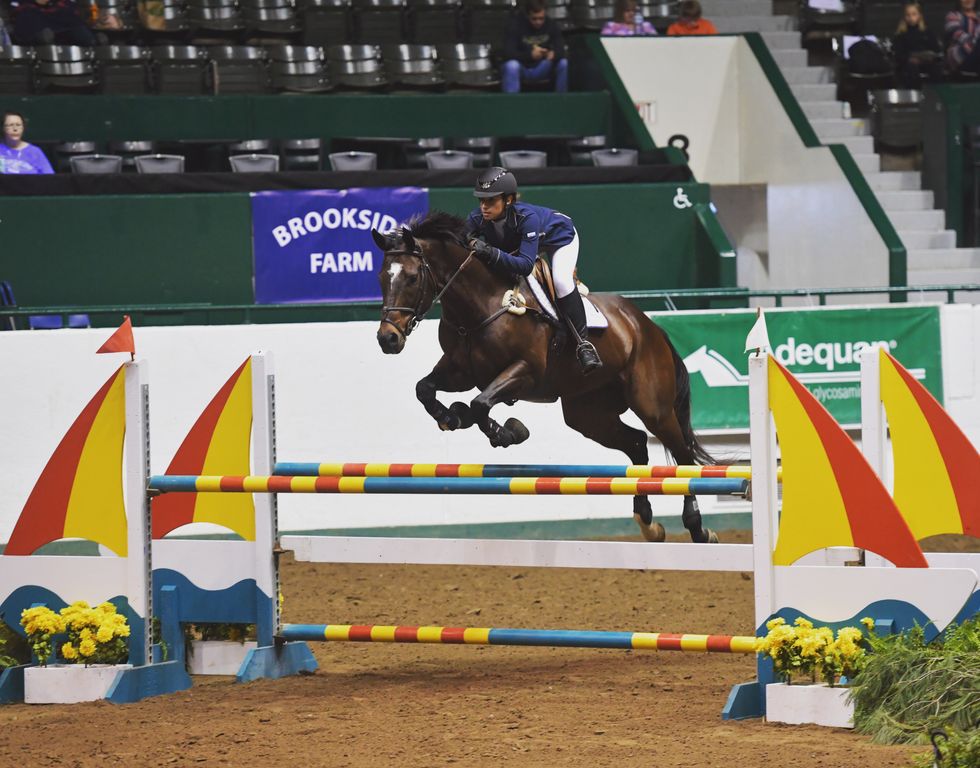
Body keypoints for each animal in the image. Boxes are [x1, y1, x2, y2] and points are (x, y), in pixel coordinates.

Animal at [371, 211, 719, 544]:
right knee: (636, 444)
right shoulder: (460, 371)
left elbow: (481, 404)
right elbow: (425, 389)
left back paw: (698, 528)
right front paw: (452, 417)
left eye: (412, 277)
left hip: (653, 407)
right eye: (381, 278)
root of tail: (648, 326)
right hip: (588, 414)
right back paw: (648, 523)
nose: (388, 339)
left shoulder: (526, 372)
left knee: (682, 457)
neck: (481, 305)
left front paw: (507, 432)